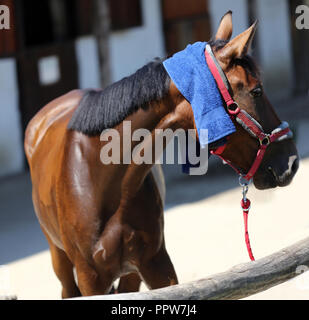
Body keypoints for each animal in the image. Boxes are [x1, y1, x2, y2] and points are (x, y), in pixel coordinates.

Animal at [22, 11, 298, 298]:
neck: (103, 180)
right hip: (60, 260)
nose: (290, 162)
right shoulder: (91, 279)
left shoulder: (157, 265)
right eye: (257, 90)